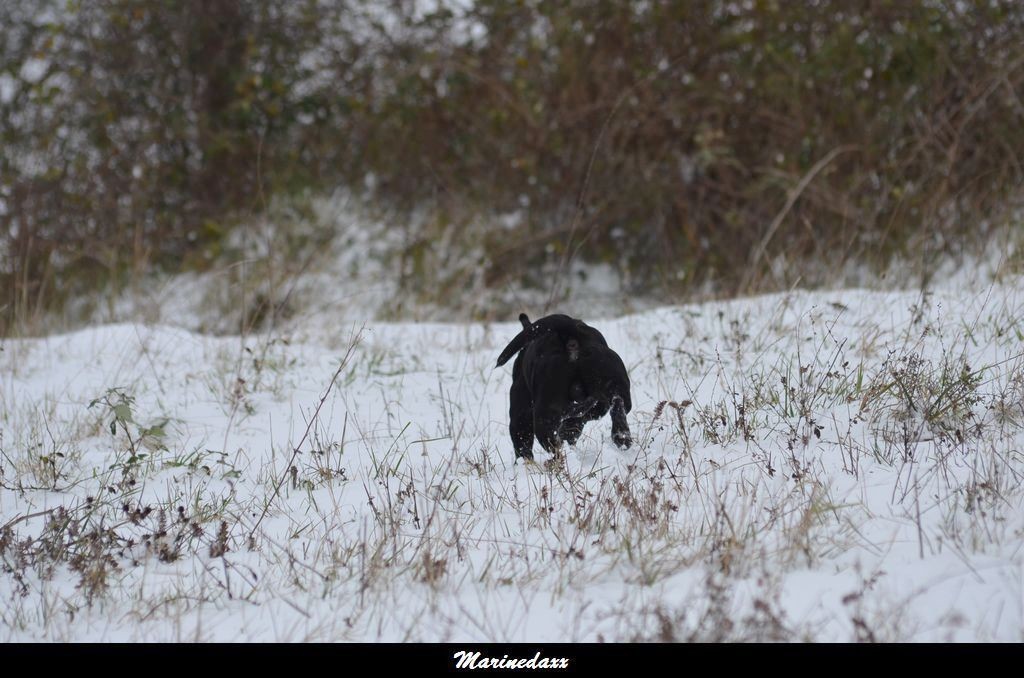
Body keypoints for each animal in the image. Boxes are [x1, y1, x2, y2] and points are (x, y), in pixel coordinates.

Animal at [495, 313, 630, 462]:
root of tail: (570, 333)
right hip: (612, 381)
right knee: (618, 402)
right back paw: (622, 436)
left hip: (539, 415)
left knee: (550, 446)